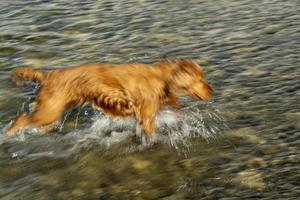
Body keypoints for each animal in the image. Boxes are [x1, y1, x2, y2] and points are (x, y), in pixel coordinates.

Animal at [3, 59, 212, 138]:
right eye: (200, 78)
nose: (212, 91)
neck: (161, 77)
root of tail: (47, 75)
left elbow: (179, 110)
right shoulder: (146, 115)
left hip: (52, 111)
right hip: (49, 110)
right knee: (21, 119)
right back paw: (9, 134)